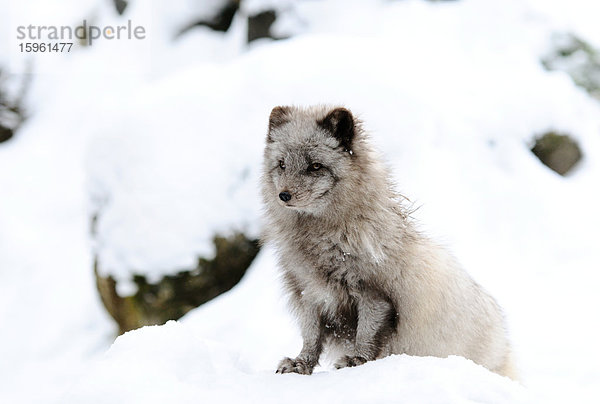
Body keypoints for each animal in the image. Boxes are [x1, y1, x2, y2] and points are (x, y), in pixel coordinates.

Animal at [260, 105, 516, 380]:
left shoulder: (374, 294)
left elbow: (365, 334)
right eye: (282, 164)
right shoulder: (309, 292)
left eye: (315, 166)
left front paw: (357, 361)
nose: (284, 196)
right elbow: (311, 336)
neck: (324, 241)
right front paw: (301, 364)